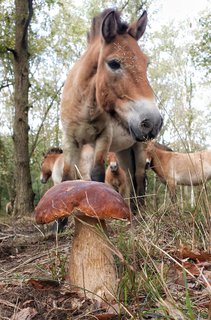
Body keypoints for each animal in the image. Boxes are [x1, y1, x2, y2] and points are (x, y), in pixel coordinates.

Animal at [61, 8, 163, 209]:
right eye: (114, 63)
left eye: (146, 64)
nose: (153, 122)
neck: (83, 106)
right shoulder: (70, 140)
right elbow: (67, 178)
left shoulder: (103, 139)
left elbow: (97, 174)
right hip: (123, 152)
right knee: (131, 178)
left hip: (139, 149)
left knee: (139, 178)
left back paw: (139, 211)